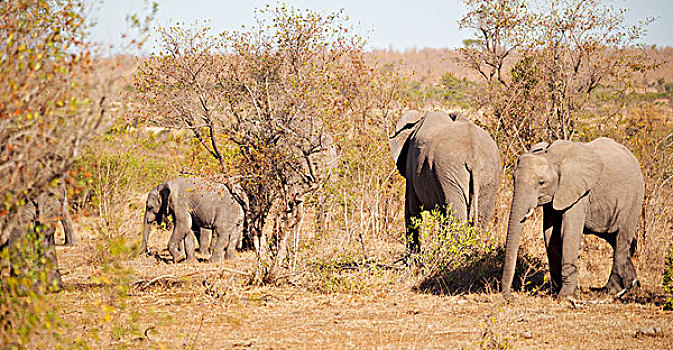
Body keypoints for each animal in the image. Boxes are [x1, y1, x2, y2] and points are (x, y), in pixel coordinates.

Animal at [388, 110, 498, 250]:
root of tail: (475, 158)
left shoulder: (411, 164)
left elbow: (412, 209)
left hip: (448, 172)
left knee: (456, 219)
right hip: (488, 174)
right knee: (481, 217)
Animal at [502, 137, 644, 298]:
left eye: (541, 182)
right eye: (514, 178)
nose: (510, 296)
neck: (552, 156)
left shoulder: (579, 192)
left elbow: (569, 231)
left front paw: (565, 296)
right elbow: (550, 234)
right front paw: (557, 291)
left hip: (634, 200)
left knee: (622, 240)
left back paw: (610, 291)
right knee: (615, 240)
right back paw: (631, 288)